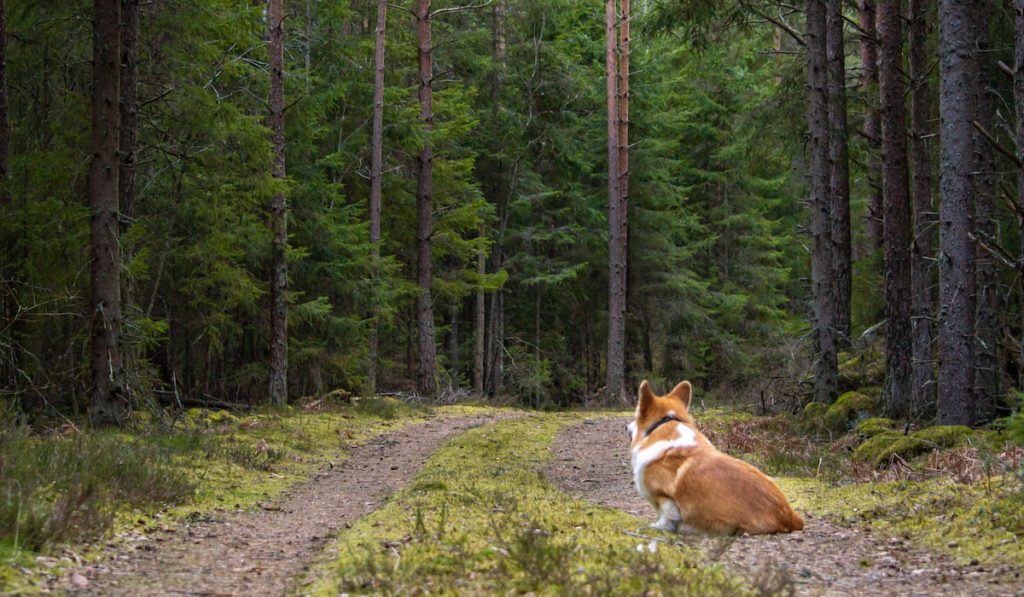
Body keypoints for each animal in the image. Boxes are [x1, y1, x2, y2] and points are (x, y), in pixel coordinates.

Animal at [626, 382, 802, 536]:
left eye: (636, 416)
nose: (625, 427)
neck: (664, 424)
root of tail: (791, 517)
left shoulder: (663, 497)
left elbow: (667, 516)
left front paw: (656, 527)